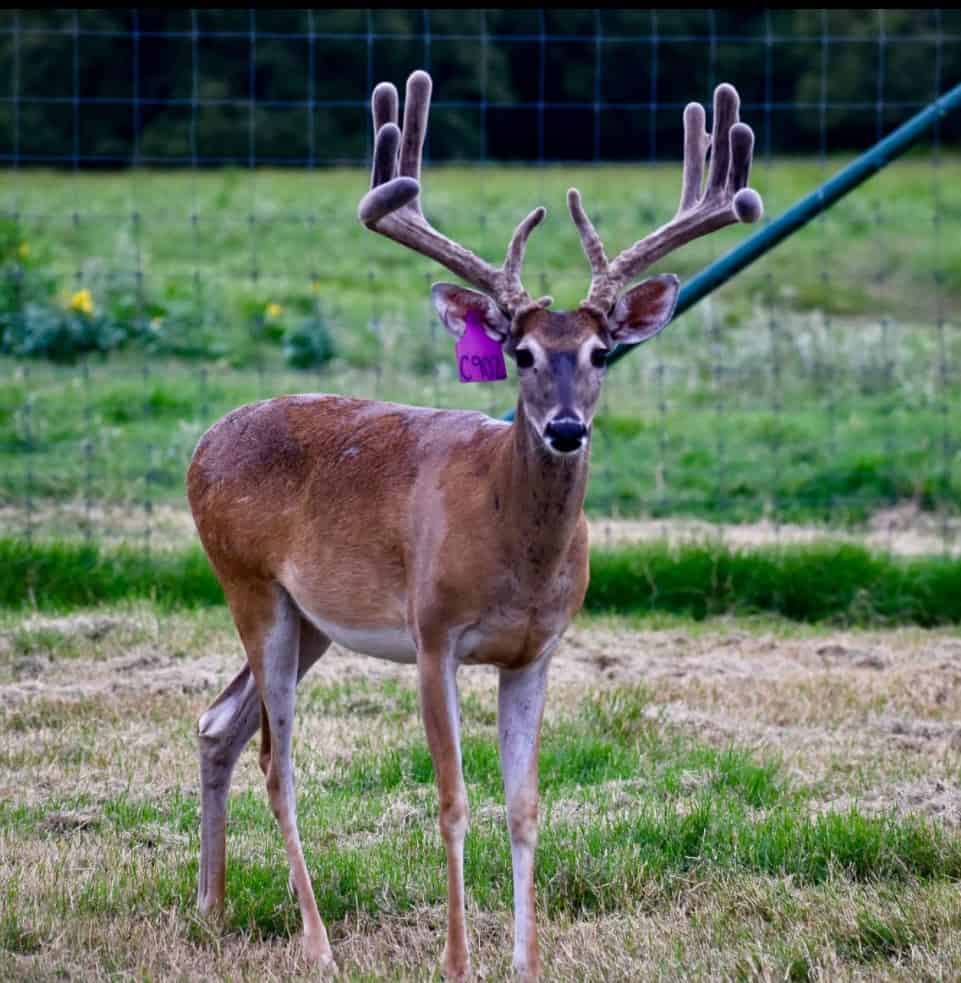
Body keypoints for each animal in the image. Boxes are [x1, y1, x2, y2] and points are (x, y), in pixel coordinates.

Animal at [187, 69, 762, 980]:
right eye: (519, 353)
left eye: (601, 352)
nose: (565, 428)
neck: (512, 552)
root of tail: (202, 444)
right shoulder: (433, 634)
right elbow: (453, 799)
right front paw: (456, 959)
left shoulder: (537, 651)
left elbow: (524, 804)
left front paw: (527, 961)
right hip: (249, 583)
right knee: (278, 761)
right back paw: (316, 940)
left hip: (310, 619)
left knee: (219, 724)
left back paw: (212, 905)